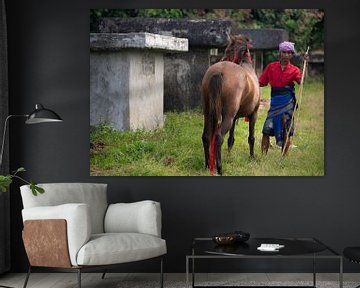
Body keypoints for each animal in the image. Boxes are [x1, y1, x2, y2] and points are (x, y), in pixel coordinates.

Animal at [201, 34, 260, 174]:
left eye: (228, 50)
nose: (222, 58)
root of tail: (219, 71)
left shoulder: (235, 117)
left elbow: (231, 139)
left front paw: (229, 155)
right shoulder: (253, 114)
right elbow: (251, 137)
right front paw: (252, 156)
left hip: (208, 113)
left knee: (206, 136)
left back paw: (207, 165)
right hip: (227, 117)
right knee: (218, 136)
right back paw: (219, 168)